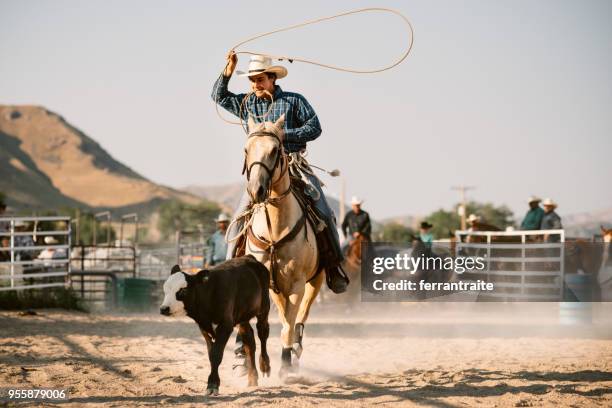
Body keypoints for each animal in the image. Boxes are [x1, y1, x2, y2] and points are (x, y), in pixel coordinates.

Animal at [160, 255, 270, 396]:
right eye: (165, 288)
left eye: (183, 290)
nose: (164, 309)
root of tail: (249, 257)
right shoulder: (204, 327)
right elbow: (210, 354)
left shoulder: (225, 326)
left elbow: (216, 355)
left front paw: (212, 385)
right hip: (243, 316)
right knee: (249, 341)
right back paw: (252, 379)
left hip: (264, 308)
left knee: (263, 332)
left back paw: (265, 365)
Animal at [241, 114, 322, 376]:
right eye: (246, 149)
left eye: (276, 150)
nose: (256, 190)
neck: (275, 230)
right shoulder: (272, 286)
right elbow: (283, 320)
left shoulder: (296, 284)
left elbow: (289, 323)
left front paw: (286, 364)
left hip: (316, 280)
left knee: (302, 315)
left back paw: (296, 347)